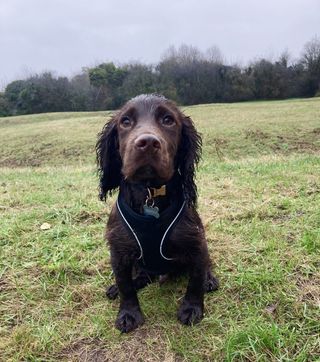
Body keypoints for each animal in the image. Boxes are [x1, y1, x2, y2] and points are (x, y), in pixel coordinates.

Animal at [96, 94, 219, 332]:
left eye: (168, 120)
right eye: (125, 122)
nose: (147, 143)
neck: (149, 193)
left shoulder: (196, 242)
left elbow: (196, 278)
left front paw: (192, 308)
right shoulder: (118, 250)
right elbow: (125, 285)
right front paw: (128, 313)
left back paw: (210, 280)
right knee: (140, 277)